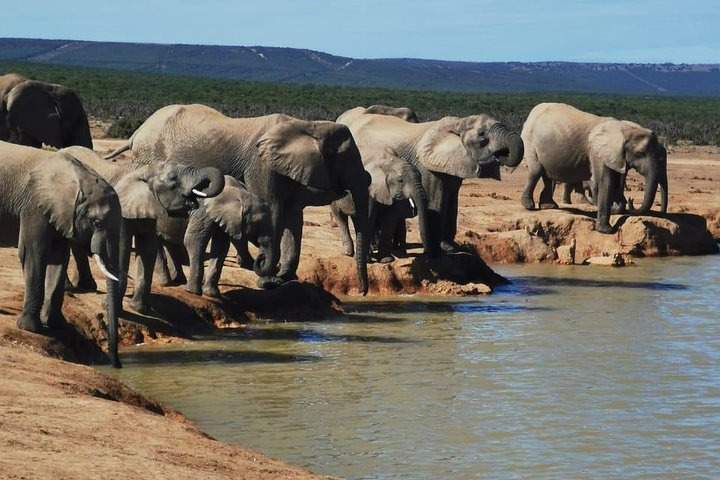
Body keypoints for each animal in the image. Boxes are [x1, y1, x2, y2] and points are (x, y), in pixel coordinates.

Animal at [0, 141, 123, 367]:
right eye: (97, 223)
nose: (117, 366)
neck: (78, 179)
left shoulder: (61, 214)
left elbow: (58, 258)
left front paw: (58, 325)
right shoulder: (35, 206)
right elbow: (34, 253)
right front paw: (31, 328)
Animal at [64, 146, 225, 314]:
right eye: (173, 178)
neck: (143, 170)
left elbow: (148, 250)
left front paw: (139, 308)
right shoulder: (120, 211)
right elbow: (121, 249)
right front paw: (109, 307)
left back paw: (87, 286)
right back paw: (70, 288)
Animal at [104, 104, 372, 294]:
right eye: (345, 157)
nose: (362, 293)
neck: (306, 126)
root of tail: (136, 134)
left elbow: (293, 217)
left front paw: (286, 277)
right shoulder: (261, 165)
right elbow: (273, 210)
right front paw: (270, 280)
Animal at [338, 109, 524, 255]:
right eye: (482, 135)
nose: (502, 155)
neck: (458, 122)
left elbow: (452, 205)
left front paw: (450, 248)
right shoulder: (429, 167)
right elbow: (437, 204)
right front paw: (437, 252)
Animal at [520, 102, 668, 233]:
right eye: (640, 153)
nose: (630, 200)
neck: (624, 129)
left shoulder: (614, 156)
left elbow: (615, 181)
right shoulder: (598, 153)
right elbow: (606, 183)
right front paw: (607, 231)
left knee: (547, 175)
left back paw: (549, 206)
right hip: (529, 140)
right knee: (536, 171)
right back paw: (529, 206)